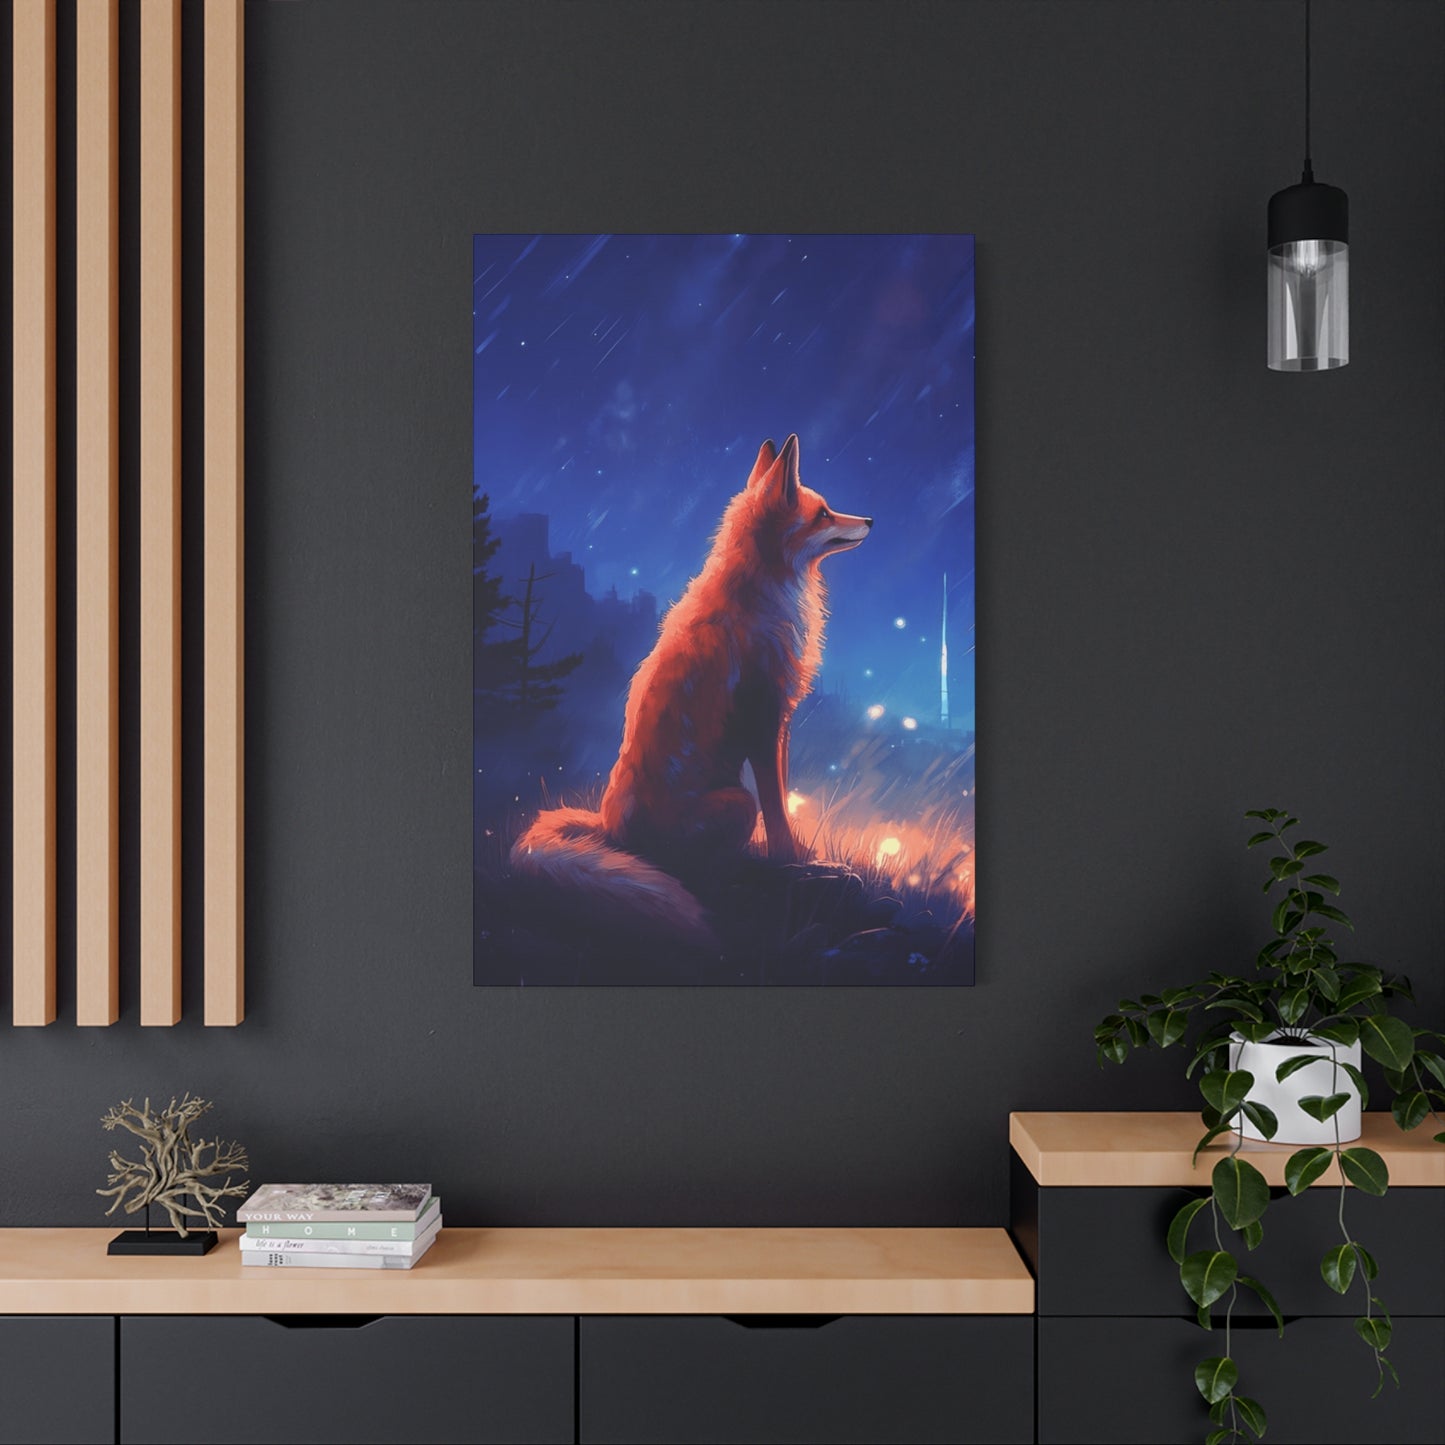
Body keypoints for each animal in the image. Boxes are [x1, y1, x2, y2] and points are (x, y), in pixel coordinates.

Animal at [510, 433, 872, 952]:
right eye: (823, 514)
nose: (870, 520)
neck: (762, 594)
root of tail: (609, 832)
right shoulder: (763, 723)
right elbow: (776, 808)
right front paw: (795, 859)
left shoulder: (780, 725)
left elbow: (783, 796)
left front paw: (802, 853)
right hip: (736, 804)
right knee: (701, 874)